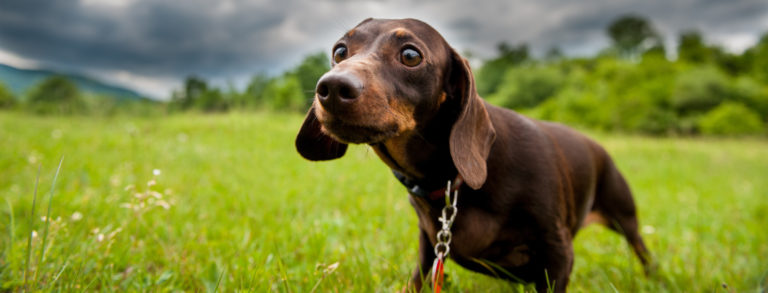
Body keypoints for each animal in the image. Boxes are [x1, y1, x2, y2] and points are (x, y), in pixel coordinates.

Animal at [294, 17, 648, 290]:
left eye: (410, 55)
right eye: (340, 51)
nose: (332, 88)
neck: (454, 179)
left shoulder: (558, 250)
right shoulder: (429, 246)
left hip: (625, 216)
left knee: (642, 250)